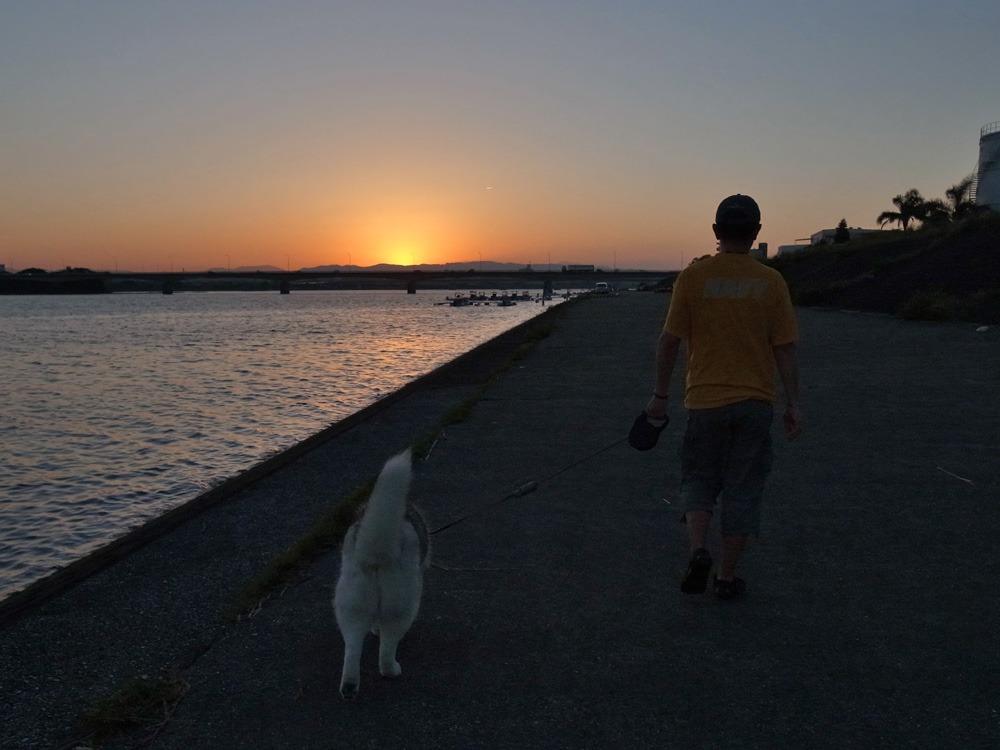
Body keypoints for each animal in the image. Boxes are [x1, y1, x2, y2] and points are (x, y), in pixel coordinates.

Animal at [334, 450, 428, 704]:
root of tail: (375, 553)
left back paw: (349, 686)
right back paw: (392, 670)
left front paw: (374, 629)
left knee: (351, 649)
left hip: (353, 604)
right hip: (400, 605)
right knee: (386, 648)